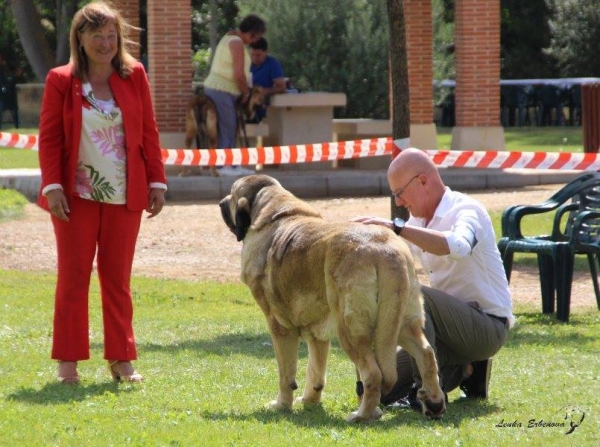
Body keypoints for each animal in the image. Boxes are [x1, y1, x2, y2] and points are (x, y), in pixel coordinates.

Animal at [220, 175, 446, 424]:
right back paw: (433, 402)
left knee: (373, 373)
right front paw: (310, 401)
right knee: (426, 355)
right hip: (400, 322)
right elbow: (315, 371)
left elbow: (286, 374)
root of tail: (385, 251)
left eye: (232, 193)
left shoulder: (279, 326)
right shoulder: (317, 334)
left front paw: (281, 406)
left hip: (350, 330)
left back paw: (362, 415)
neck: (273, 210)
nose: (221, 203)